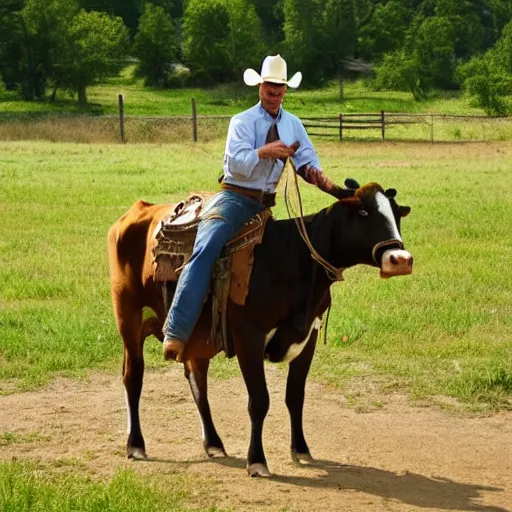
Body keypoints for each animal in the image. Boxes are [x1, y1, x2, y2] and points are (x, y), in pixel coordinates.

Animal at [107, 180, 412, 476]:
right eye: (363, 212)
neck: (291, 259)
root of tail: (138, 210)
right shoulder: (249, 338)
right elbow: (259, 401)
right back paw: (136, 445)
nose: (401, 259)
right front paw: (257, 460)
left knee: (197, 381)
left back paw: (214, 443)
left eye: (396, 213)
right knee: (133, 377)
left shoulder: (308, 336)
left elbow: (295, 396)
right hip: (128, 320)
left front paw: (301, 450)